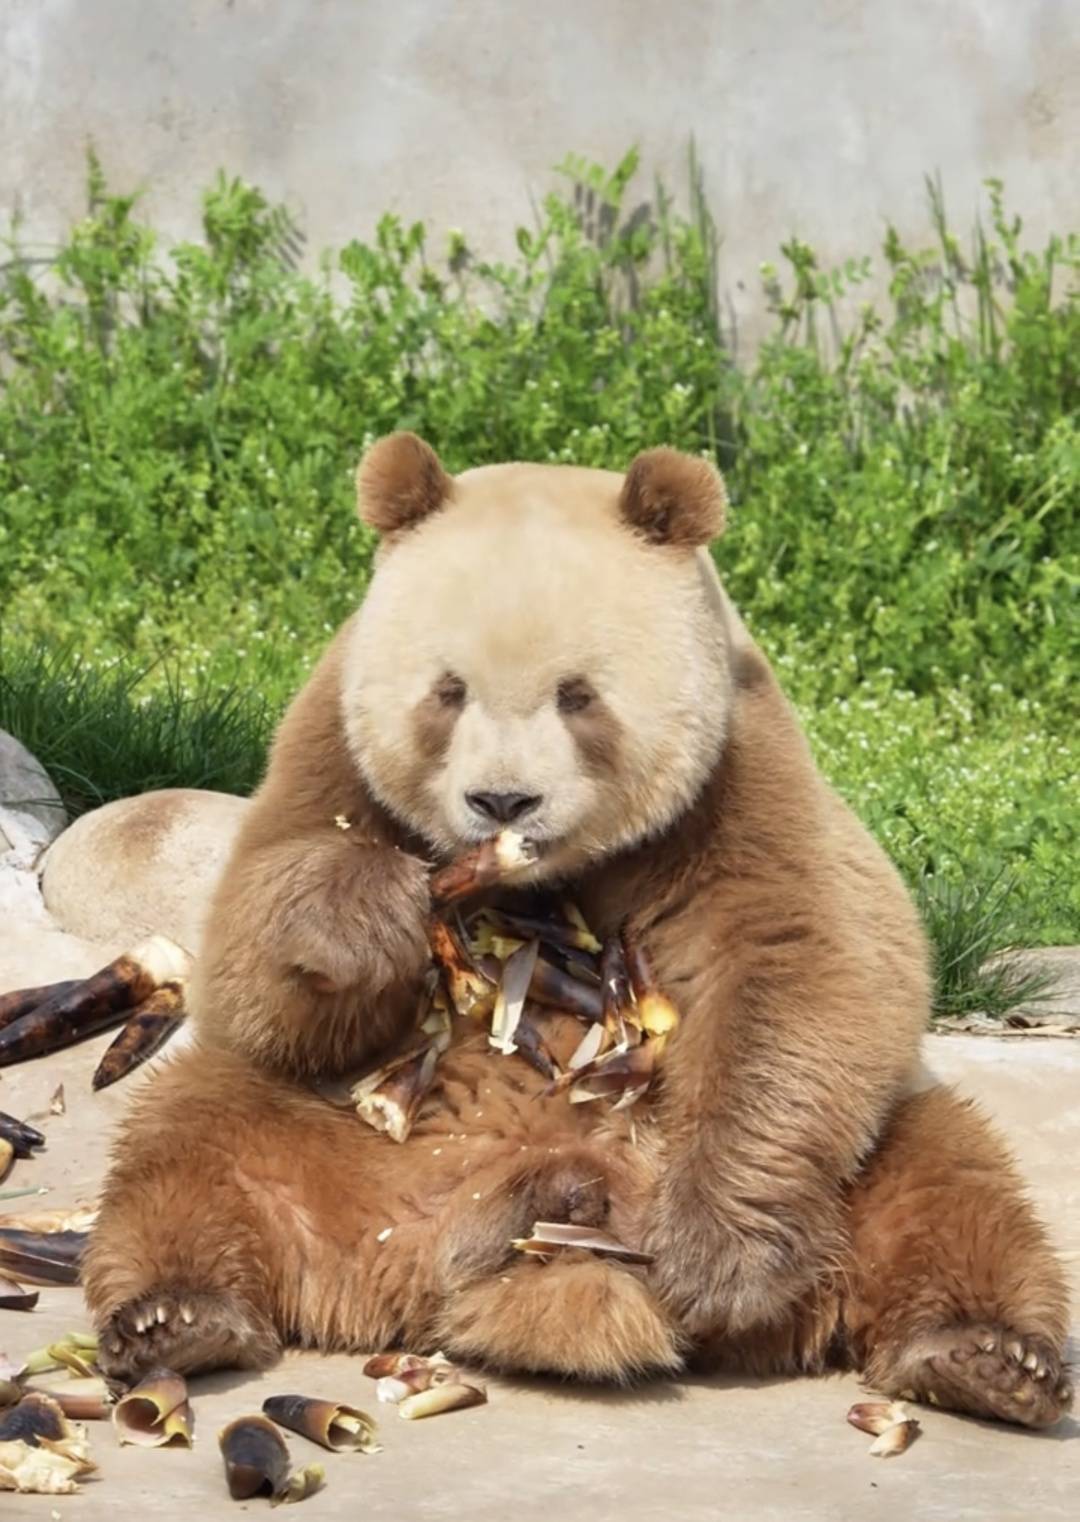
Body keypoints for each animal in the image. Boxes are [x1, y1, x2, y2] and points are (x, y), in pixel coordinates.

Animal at [82, 433, 1072, 1429]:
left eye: (578, 696)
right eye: (448, 692)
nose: (502, 802)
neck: (546, 877)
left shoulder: (742, 778)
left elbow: (810, 965)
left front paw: (722, 1262)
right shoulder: (329, 746)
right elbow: (250, 954)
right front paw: (370, 913)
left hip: (846, 1176)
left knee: (943, 1183)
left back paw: (980, 1355)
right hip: (343, 1157)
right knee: (199, 1137)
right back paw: (176, 1317)